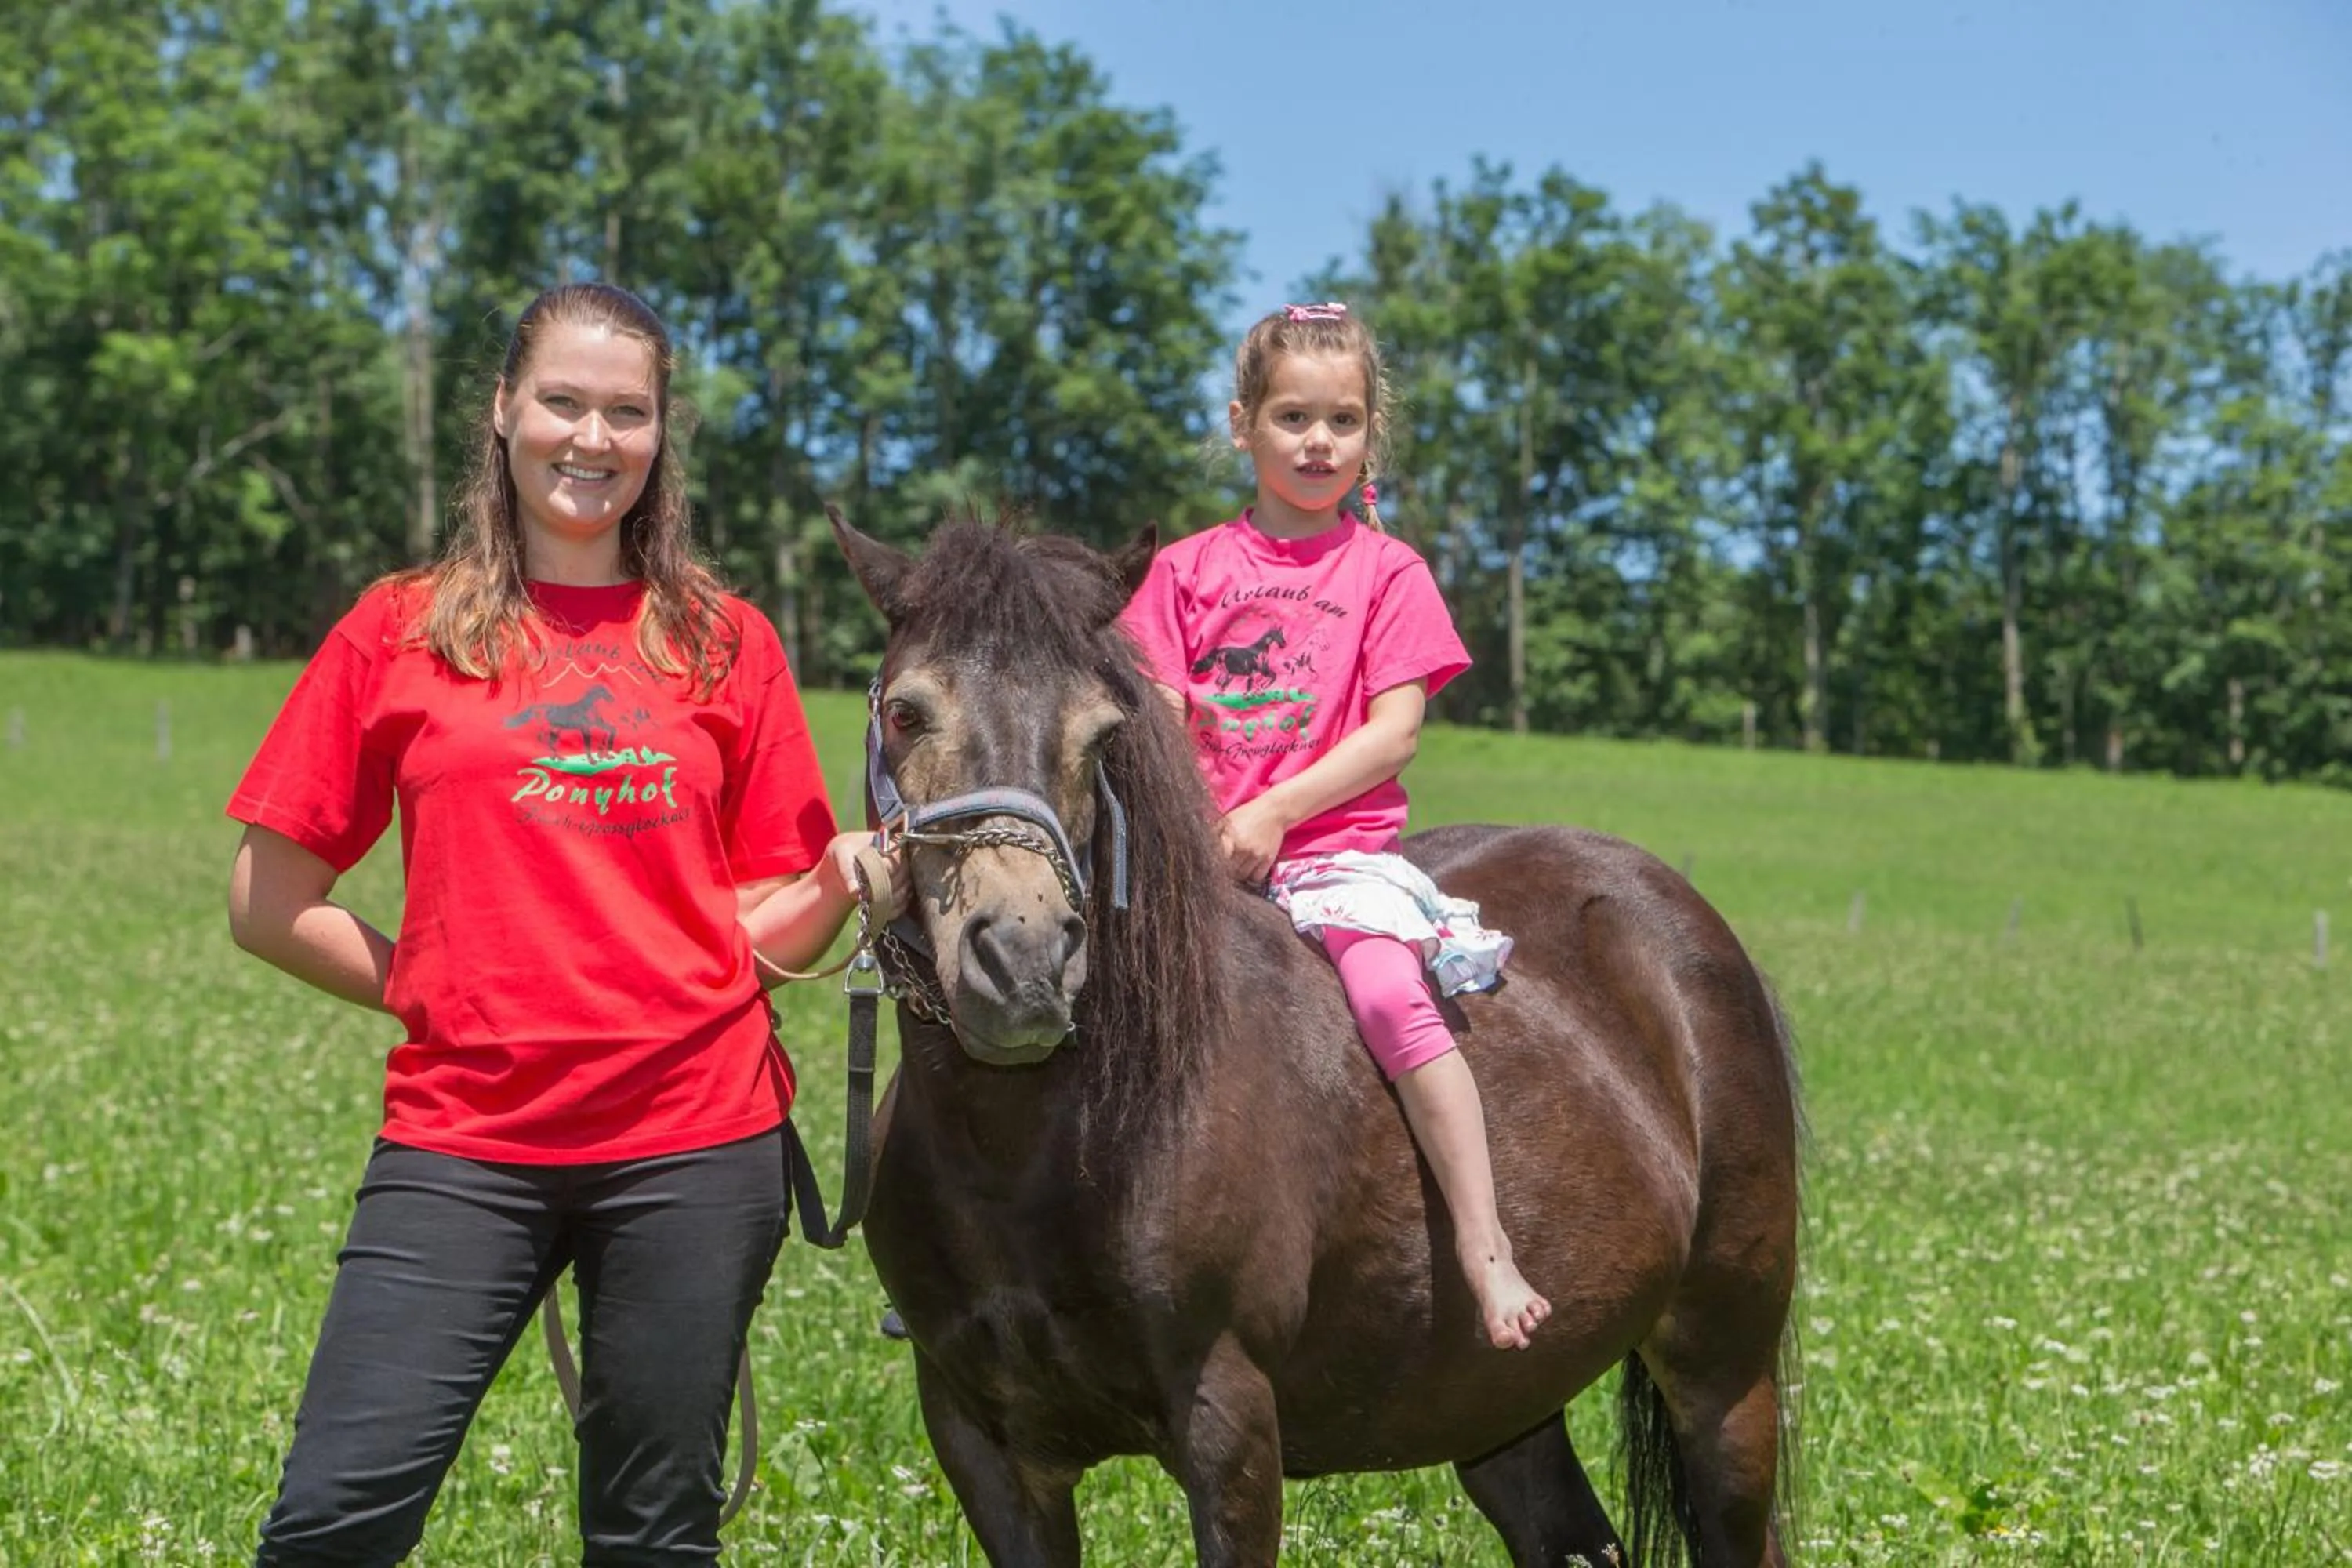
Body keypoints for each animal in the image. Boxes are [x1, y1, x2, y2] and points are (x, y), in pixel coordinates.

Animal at [833, 512, 1802, 1567]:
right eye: (907, 713)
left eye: (1102, 733)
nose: (1023, 956)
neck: (1030, 1146)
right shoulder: (987, 1443)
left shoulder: (1230, 1424)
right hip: (1503, 1407)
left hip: (1724, 1371)